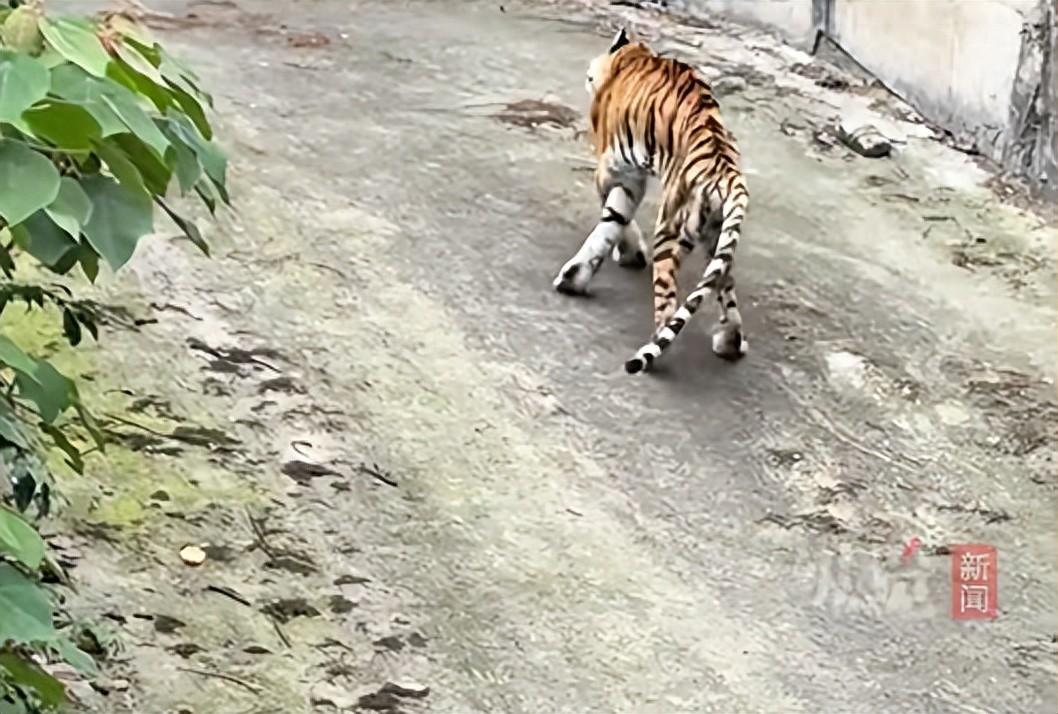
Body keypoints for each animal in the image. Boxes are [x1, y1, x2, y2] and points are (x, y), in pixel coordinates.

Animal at [552, 27, 750, 374]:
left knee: (668, 303)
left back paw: (654, 349)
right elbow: (612, 222)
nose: (586, 76)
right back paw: (730, 341)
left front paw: (626, 253)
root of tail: (727, 173)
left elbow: (613, 217)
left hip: (673, 229)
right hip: (717, 236)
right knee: (724, 283)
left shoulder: (615, 168)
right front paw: (576, 278)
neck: (633, 55)